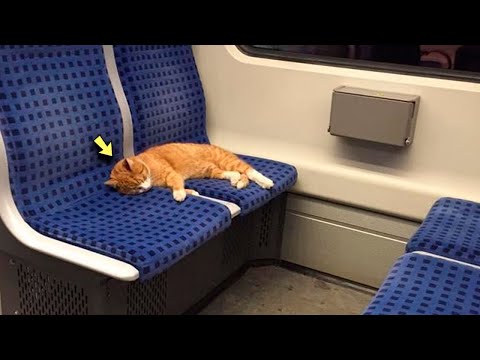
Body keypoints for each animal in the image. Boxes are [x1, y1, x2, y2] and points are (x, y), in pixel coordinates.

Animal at [104, 142, 274, 201]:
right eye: (136, 188)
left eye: (142, 179)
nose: (146, 188)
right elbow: (181, 187)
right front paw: (192, 192)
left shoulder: (172, 175)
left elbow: (177, 185)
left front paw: (180, 194)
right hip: (211, 170)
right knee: (230, 174)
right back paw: (235, 180)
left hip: (228, 162)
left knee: (249, 171)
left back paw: (266, 182)